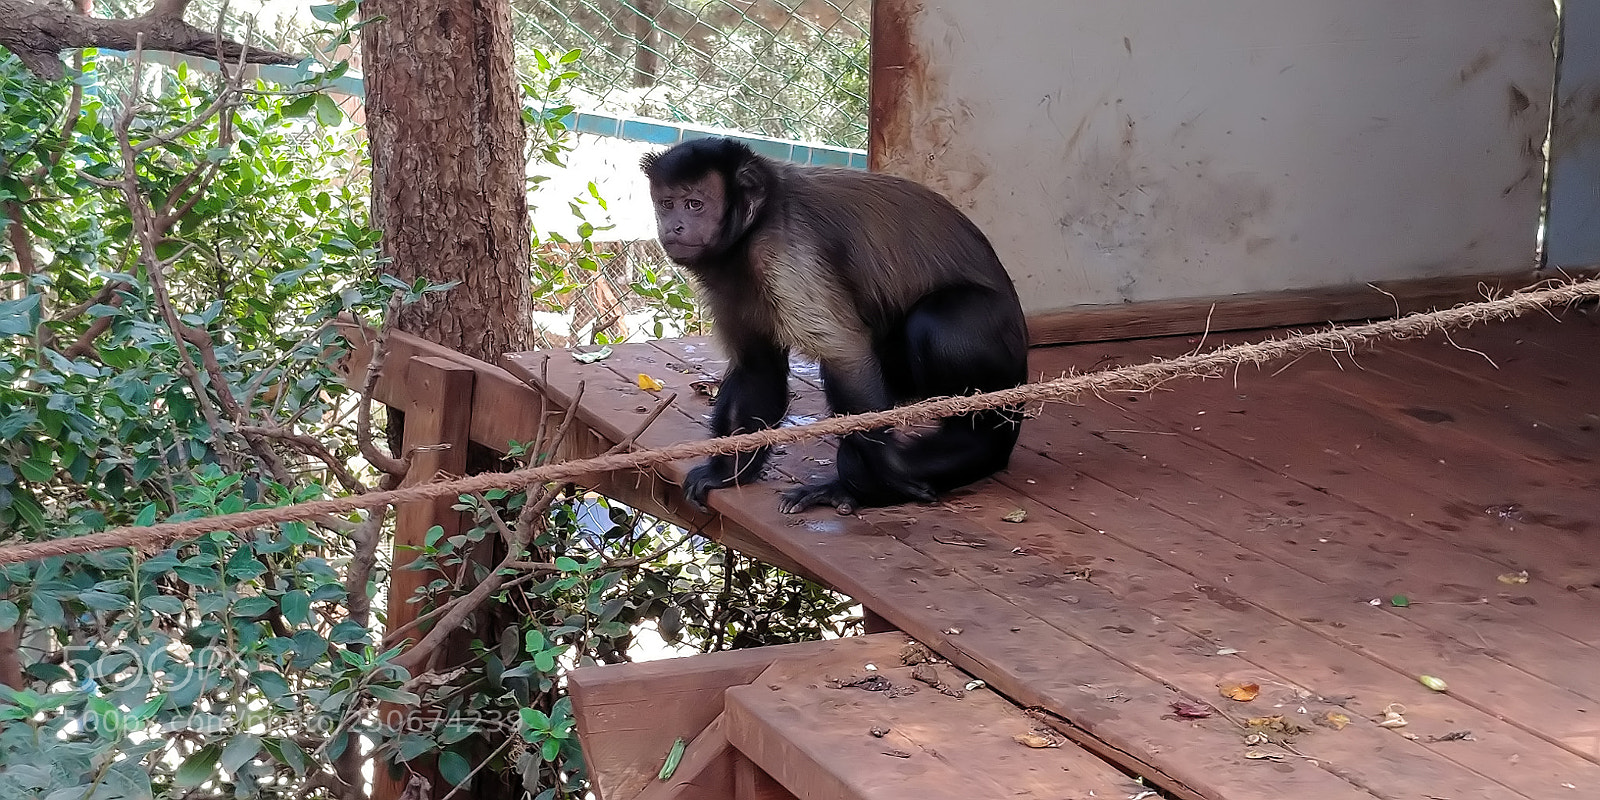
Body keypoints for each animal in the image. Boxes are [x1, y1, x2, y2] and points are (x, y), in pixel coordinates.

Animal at [641, 137, 1028, 515]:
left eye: (694, 204)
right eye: (667, 204)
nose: (674, 226)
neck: (751, 232)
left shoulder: (784, 250)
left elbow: (847, 354)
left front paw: (885, 475)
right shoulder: (726, 278)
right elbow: (757, 366)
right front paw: (726, 470)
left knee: (937, 323)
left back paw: (970, 446)